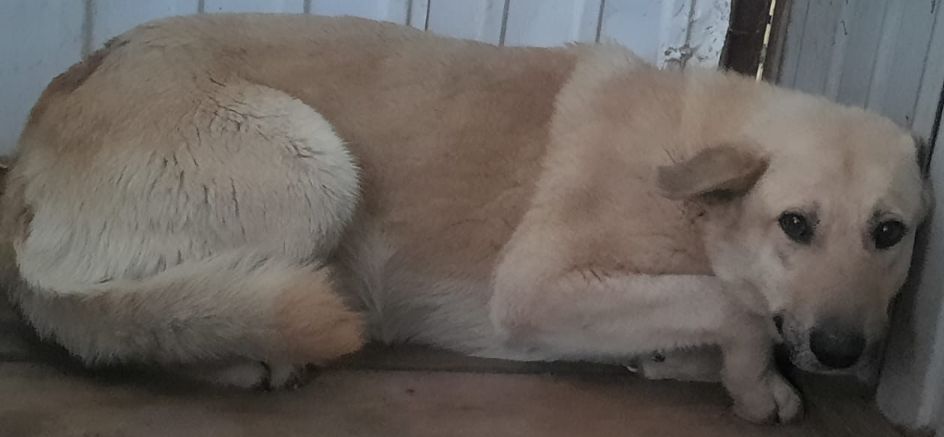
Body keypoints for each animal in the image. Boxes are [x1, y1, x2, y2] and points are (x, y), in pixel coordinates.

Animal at [0, 14, 931, 424]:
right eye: (795, 224)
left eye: (889, 233)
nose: (842, 349)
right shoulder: (535, 288)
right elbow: (731, 304)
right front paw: (752, 378)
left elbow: (708, 314)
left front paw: (689, 361)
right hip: (315, 165)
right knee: (115, 320)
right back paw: (242, 352)